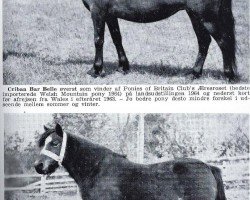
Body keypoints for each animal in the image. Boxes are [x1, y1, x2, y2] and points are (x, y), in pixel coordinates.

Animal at [81, 0, 236, 80]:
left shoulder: (98, 11)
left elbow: (98, 40)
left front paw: (96, 70)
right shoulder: (110, 14)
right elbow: (117, 39)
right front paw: (123, 67)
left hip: (207, 16)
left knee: (223, 42)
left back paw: (228, 76)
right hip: (195, 15)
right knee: (204, 42)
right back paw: (194, 74)